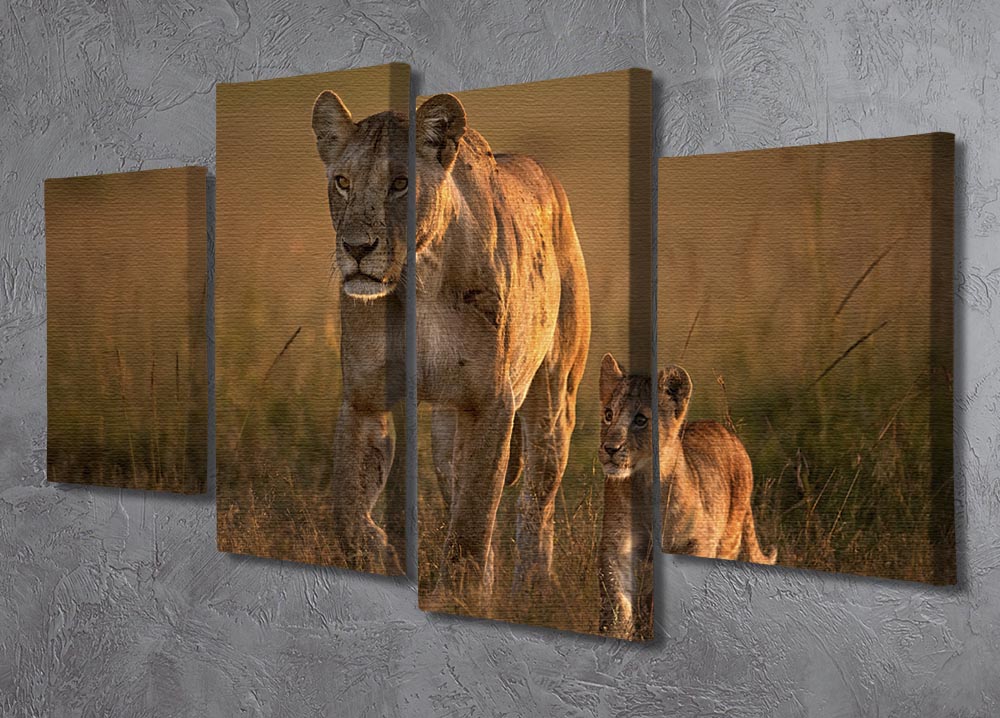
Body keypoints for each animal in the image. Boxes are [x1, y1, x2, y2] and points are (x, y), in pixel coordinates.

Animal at [311, 91, 591, 606]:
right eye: (342, 182)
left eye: (400, 183)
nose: (356, 247)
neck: (418, 282)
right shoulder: (364, 400)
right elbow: (348, 508)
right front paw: (382, 558)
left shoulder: (490, 402)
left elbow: (475, 512)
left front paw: (458, 593)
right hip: (446, 430)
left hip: (554, 398)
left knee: (535, 501)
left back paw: (533, 586)